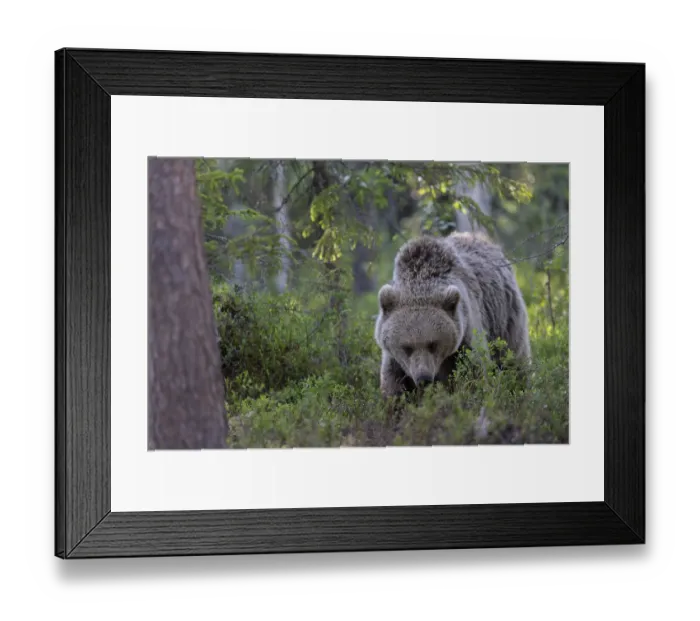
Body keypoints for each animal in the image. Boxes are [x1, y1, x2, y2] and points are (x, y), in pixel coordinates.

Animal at [374, 231, 531, 398]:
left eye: (433, 344)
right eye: (407, 347)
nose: (423, 378)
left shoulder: (465, 336)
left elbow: (473, 374)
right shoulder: (395, 359)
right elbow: (394, 384)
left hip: (504, 316)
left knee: (514, 358)